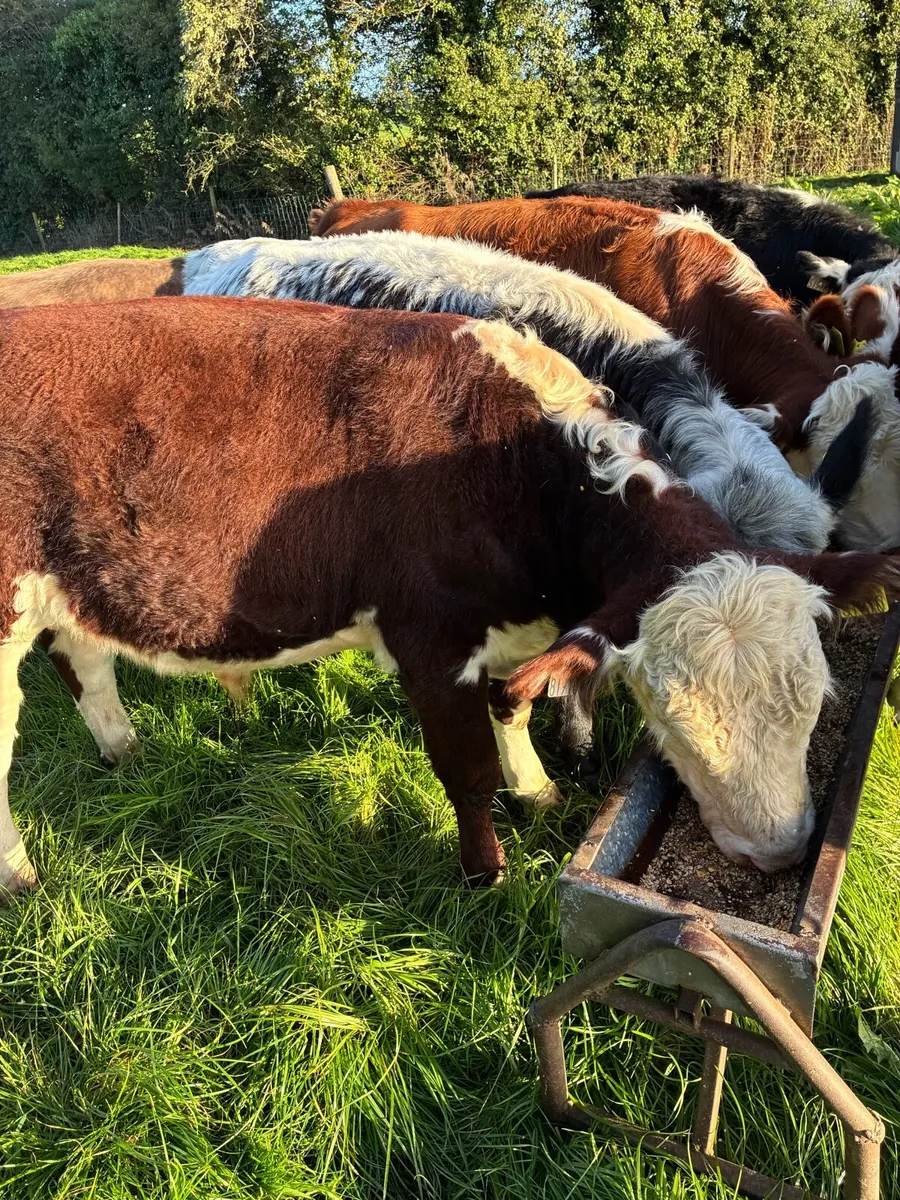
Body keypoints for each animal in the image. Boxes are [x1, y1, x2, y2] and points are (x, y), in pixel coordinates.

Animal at [2, 296, 895, 893]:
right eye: (667, 719)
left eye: (817, 696)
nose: (778, 853)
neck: (515, 463)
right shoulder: (428, 641)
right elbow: (465, 771)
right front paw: (485, 873)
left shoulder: (515, 630)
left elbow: (514, 705)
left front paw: (537, 788)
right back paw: (20, 875)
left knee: (84, 664)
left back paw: (125, 753)